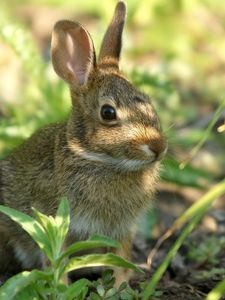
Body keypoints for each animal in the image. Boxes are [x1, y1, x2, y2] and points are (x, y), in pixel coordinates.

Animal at [0, 0, 166, 286]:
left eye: (147, 100)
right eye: (108, 113)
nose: (158, 147)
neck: (100, 159)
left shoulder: (122, 231)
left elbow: (120, 261)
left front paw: (119, 287)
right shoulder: (58, 226)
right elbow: (57, 264)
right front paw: (61, 287)